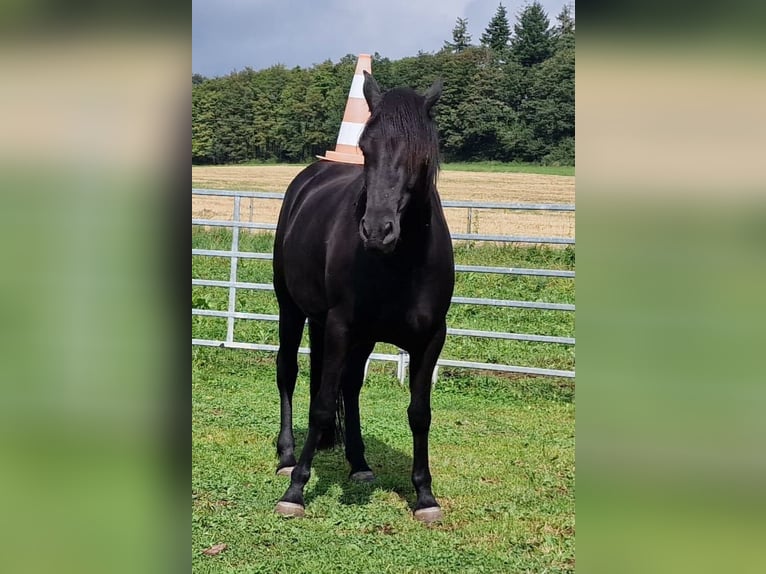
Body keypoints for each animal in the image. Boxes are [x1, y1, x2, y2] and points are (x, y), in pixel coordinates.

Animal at [272, 70, 452, 524]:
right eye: (366, 148)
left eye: (420, 154)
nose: (376, 230)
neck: (403, 263)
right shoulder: (340, 326)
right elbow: (320, 404)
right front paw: (295, 489)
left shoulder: (431, 339)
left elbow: (419, 413)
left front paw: (425, 495)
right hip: (291, 309)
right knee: (288, 372)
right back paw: (287, 455)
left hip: (357, 336)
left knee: (350, 386)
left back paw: (358, 463)